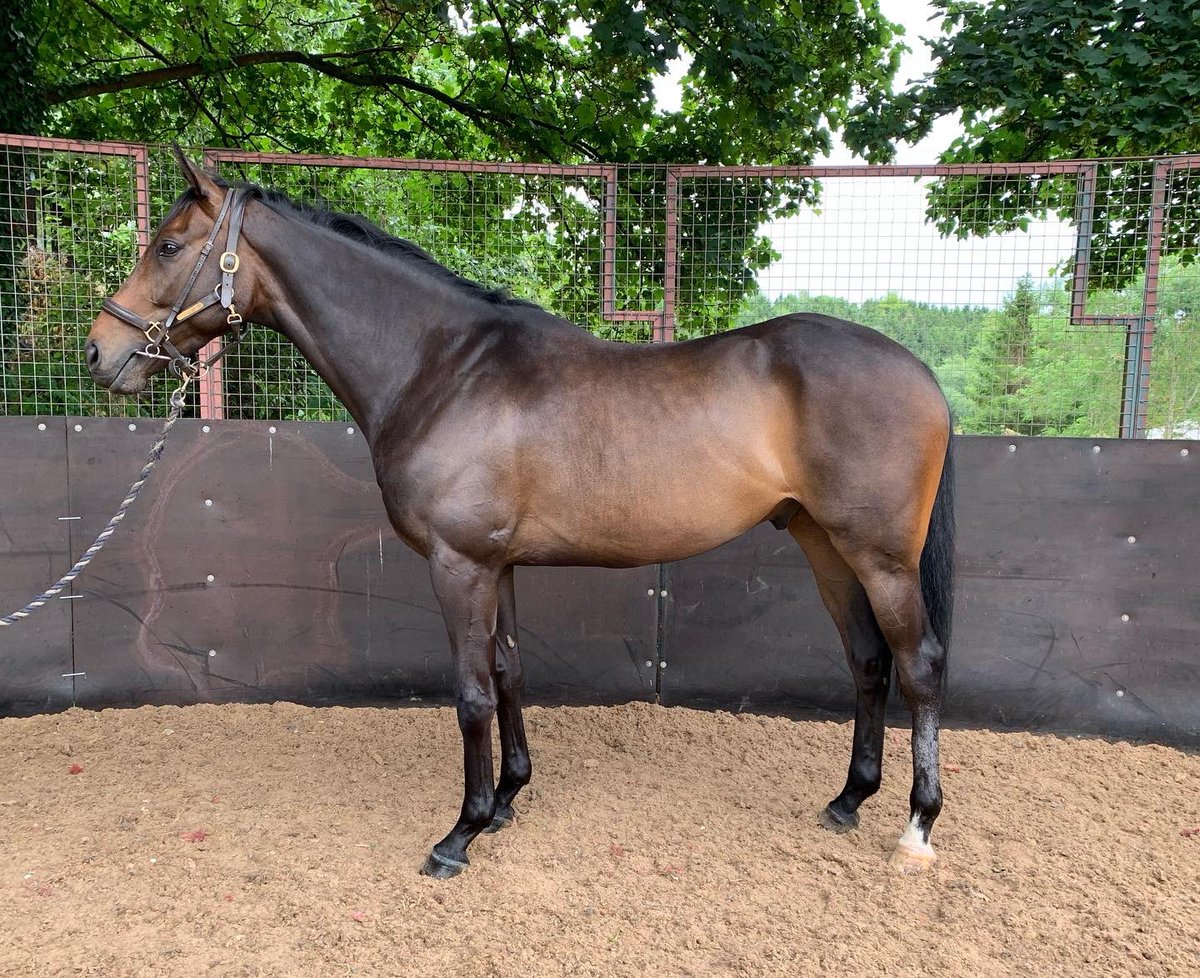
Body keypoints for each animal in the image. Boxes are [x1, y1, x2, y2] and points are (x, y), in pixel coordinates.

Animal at [87, 153, 955, 878]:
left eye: (169, 246)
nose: (99, 352)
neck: (440, 367)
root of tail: (918, 373)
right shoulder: (497, 565)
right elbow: (508, 673)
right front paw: (507, 800)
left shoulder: (459, 564)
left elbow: (471, 692)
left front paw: (459, 834)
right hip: (823, 545)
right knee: (867, 661)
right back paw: (848, 801)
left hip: (880, 558)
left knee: (917, 666)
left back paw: (917, 827)